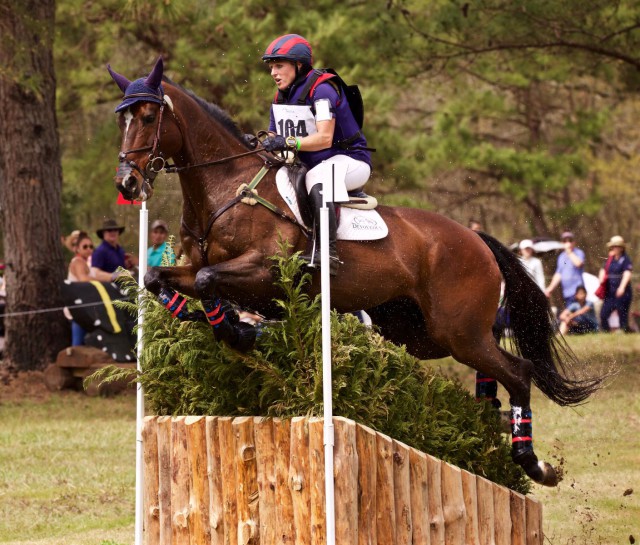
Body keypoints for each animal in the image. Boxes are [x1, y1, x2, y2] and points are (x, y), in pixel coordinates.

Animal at [110, 58, 604, 484]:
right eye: (123, 120)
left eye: (149, 118)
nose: (127, 183)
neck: (226, 187)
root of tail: (477, 238)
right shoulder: (198, 266)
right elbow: (164, 280)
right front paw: (222, 322)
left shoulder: (265, 272)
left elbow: (211, 282)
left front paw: (245, 332)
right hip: (420, 332)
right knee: (497, 369)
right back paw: (494, 419)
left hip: (458, 330)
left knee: (519, 371)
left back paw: (532, 461)